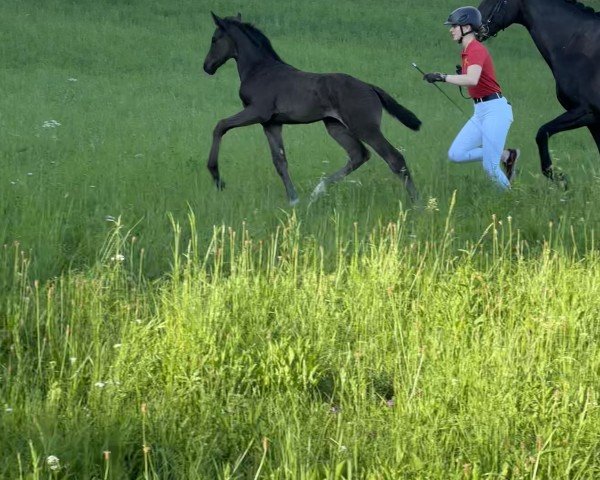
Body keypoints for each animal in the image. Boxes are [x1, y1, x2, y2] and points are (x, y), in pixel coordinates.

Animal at [204, 13, 420, 204]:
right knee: (359, 154)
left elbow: (220, 126)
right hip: (335, 126)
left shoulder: (257, 112)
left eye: (214, 39)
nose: (207, 67)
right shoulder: (271, 123)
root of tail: (370, 87)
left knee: (394, 158)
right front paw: (293, 200)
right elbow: (280, 161)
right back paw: (317, 191)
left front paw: (217, 178)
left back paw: (418, 204)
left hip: (364, 127)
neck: (260, 70)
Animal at [478, 0, 600, 184]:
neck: (574, 46)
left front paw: (559, 178)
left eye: (494, 0)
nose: (474, 26)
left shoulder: (585, 111)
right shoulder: (593, 120)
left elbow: (542, 133)